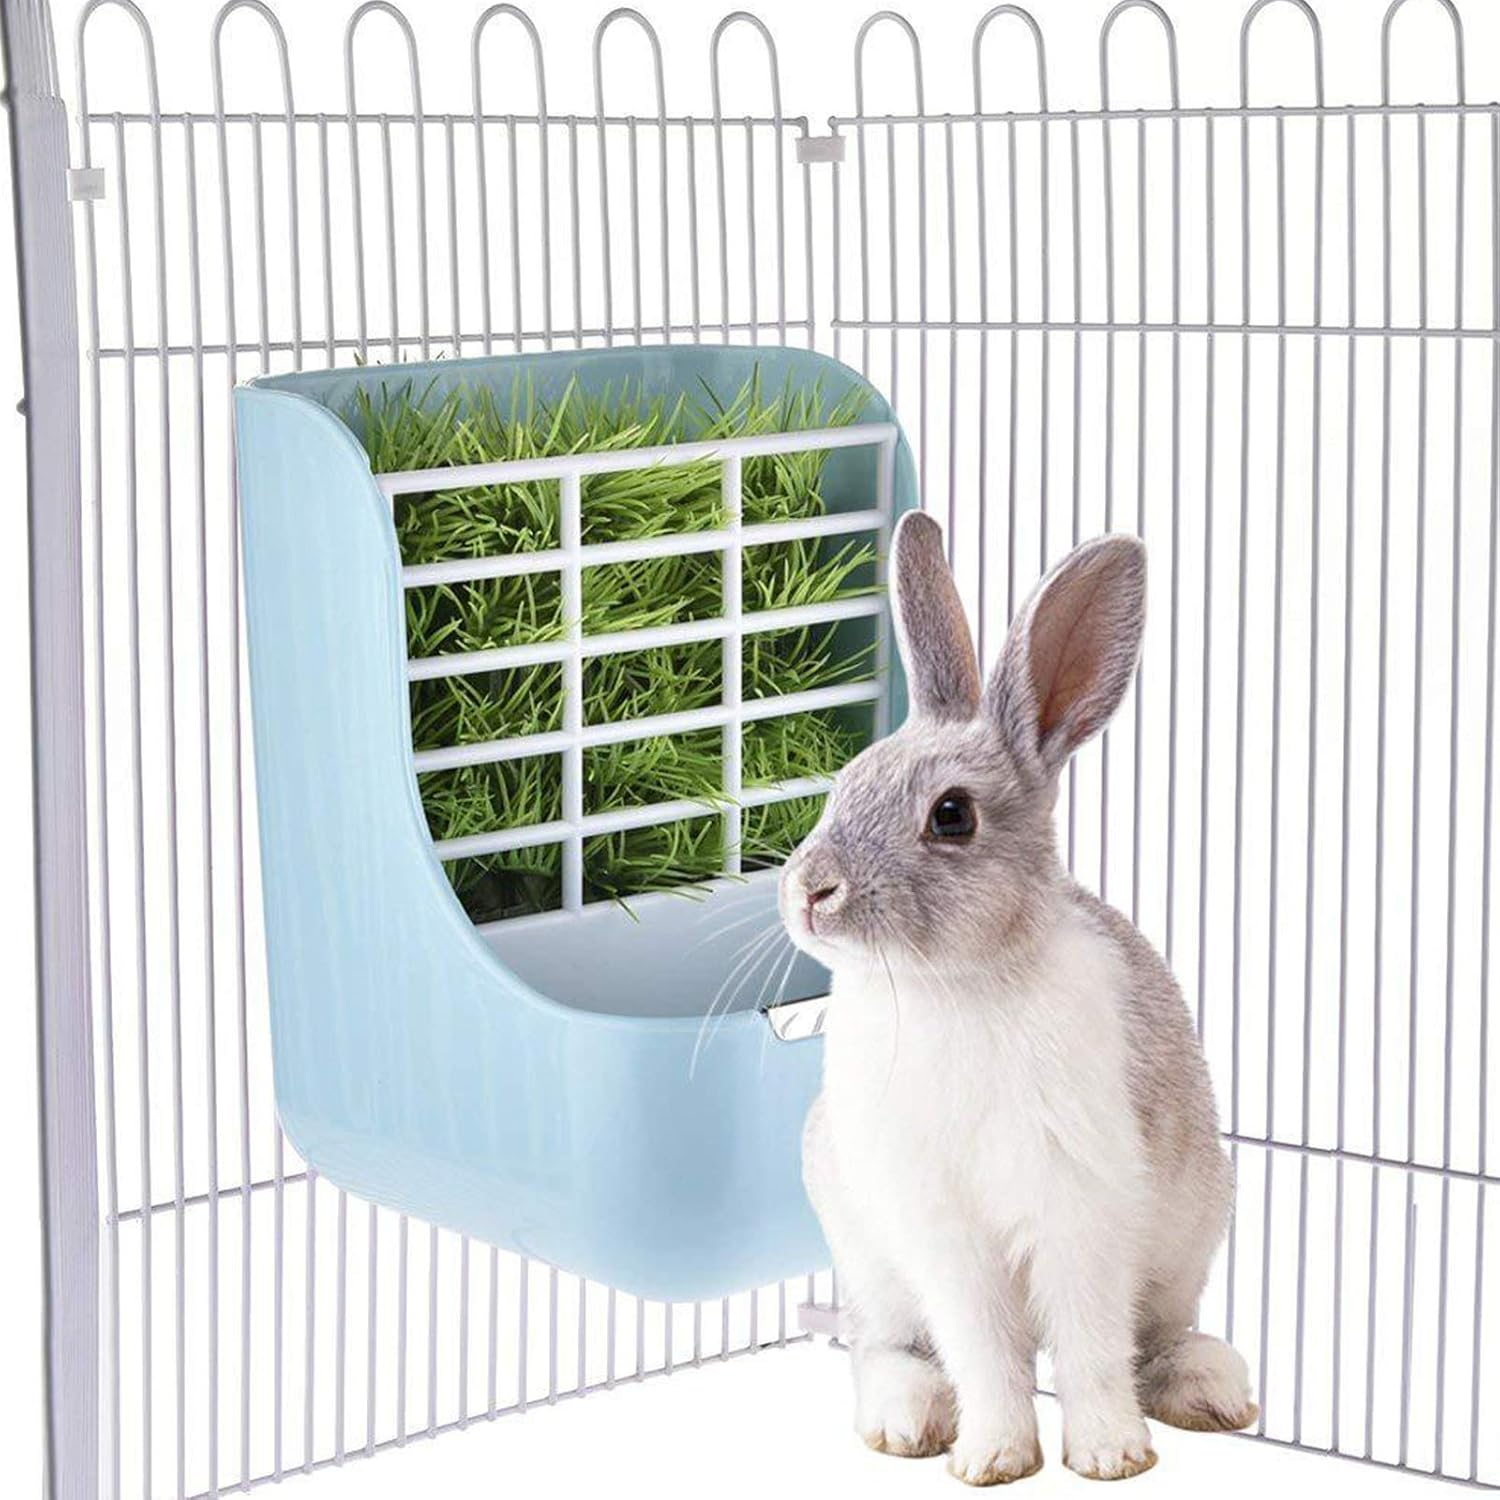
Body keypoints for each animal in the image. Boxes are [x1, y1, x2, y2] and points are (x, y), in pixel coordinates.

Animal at [780, 512, 1255, 1485]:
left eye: (951, 815)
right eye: (843, 784)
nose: (809, 892)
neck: (956, 985)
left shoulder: (1082, 1209)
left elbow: (1090, 1345)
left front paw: (1111, 1457)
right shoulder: (943, 1234)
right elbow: (983, 1348)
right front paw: (992, 1458)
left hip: (1191, 1237)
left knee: (1157, 1339)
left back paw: (1213, 1392)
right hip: (869, 1259)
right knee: (882, 1346)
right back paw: (907, 1423)